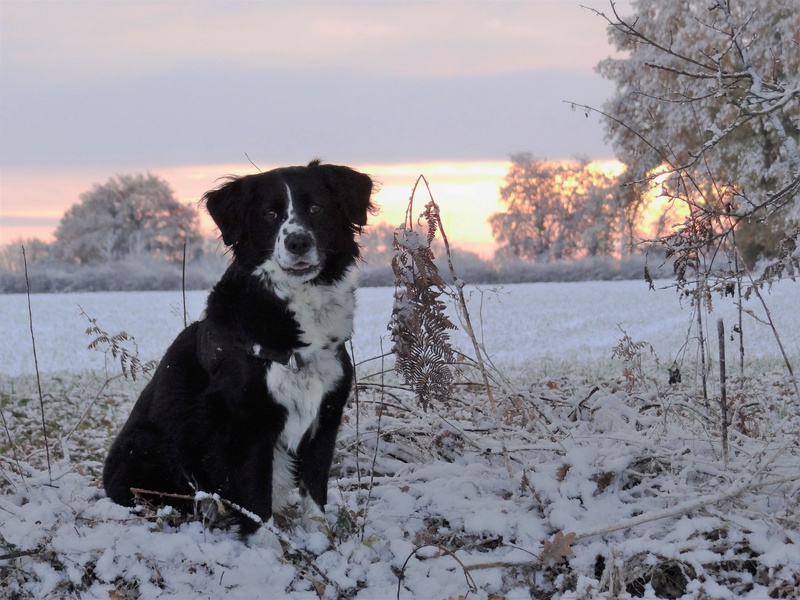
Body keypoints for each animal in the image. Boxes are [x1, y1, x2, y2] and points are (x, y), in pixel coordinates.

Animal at [103, 161, 376, 552]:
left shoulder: (325, 416)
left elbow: (314, 488)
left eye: (316, 208)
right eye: (270, 214)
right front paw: (267, 553)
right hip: (147, 444)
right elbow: (256, 498)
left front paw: (320, 541)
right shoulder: (246, 426)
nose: (298, 242)